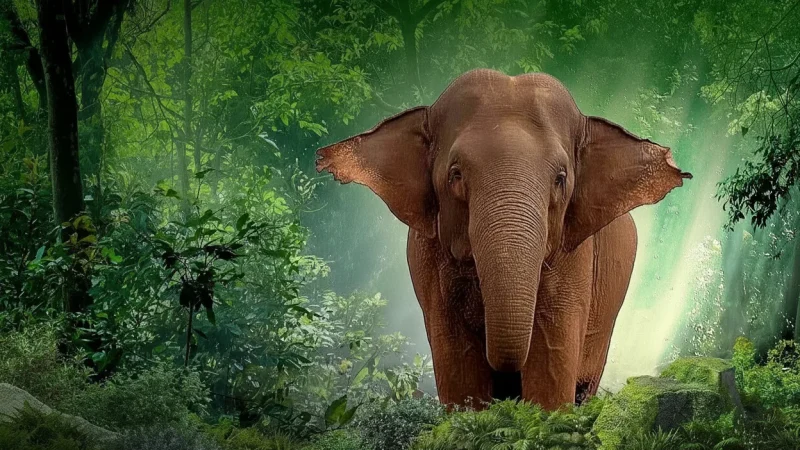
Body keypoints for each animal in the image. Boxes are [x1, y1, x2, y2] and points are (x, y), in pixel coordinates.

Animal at [315, 69, 691, 410]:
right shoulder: (427, 260)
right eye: (456, 174)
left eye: (560, 178)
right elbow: (459, 367)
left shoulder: (576, 256)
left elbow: (551, 362)